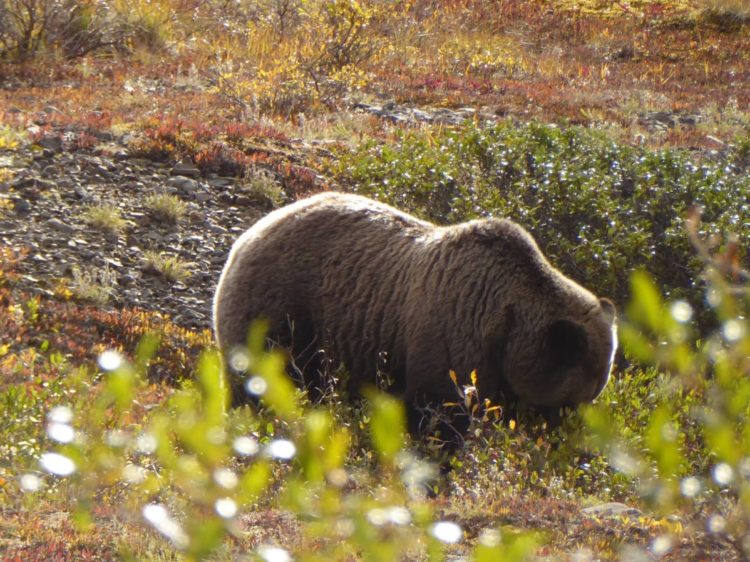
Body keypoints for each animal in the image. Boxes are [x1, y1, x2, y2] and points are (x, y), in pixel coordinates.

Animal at [212, 192, 616, 442]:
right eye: (575, 397)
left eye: (597, 388)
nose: (571, 433)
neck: (507, 327)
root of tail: (246, 237)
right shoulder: (453, 335)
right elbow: (440, 414)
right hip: (278, 317)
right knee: (253, 384)